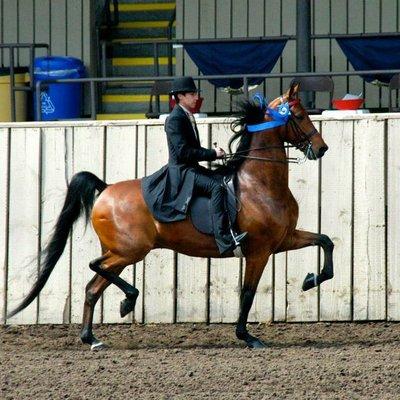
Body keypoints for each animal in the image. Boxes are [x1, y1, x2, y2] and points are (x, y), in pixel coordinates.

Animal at [7, 83, 332, 348]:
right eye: (299, 116)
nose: (322, 148)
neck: (259, 184)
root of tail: (106, 189)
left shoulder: (284, 240)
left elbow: (325, 241)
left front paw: (310, 280)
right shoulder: (259, 250)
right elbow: (248, 293)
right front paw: (247, 337)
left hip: (121, 252)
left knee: (92, 287)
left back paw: (92, 337)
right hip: (130, 250)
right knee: (95, 267)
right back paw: (128, 301)